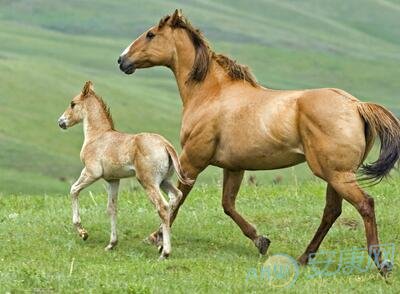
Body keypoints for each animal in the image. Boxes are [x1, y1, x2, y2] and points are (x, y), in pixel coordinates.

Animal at [57, 81, 192, 260]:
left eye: (73, 103)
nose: (61, 122)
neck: (97, 136)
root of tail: (166, 144)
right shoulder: (113, 180)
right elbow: (112, 208)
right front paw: (111, 244)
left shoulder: (91, 173)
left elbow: (73, 190)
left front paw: (83, 232)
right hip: (164, 181)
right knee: (176, 197)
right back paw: (160, 243)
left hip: (148, 182)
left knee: (162, 207)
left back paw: (165, 252)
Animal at [117, 9, 398, 274]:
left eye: (151, 34)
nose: (122, 60)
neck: (210, 94)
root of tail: (356, 105)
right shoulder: (234, 167)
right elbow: (228, 205)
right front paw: (261, 240)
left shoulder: (191, 161)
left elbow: (178, 199)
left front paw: (156, 238)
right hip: (334, 174)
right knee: (331, 211)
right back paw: (303, 258)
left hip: (337, 174)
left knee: (365, 204)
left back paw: (380, 262)